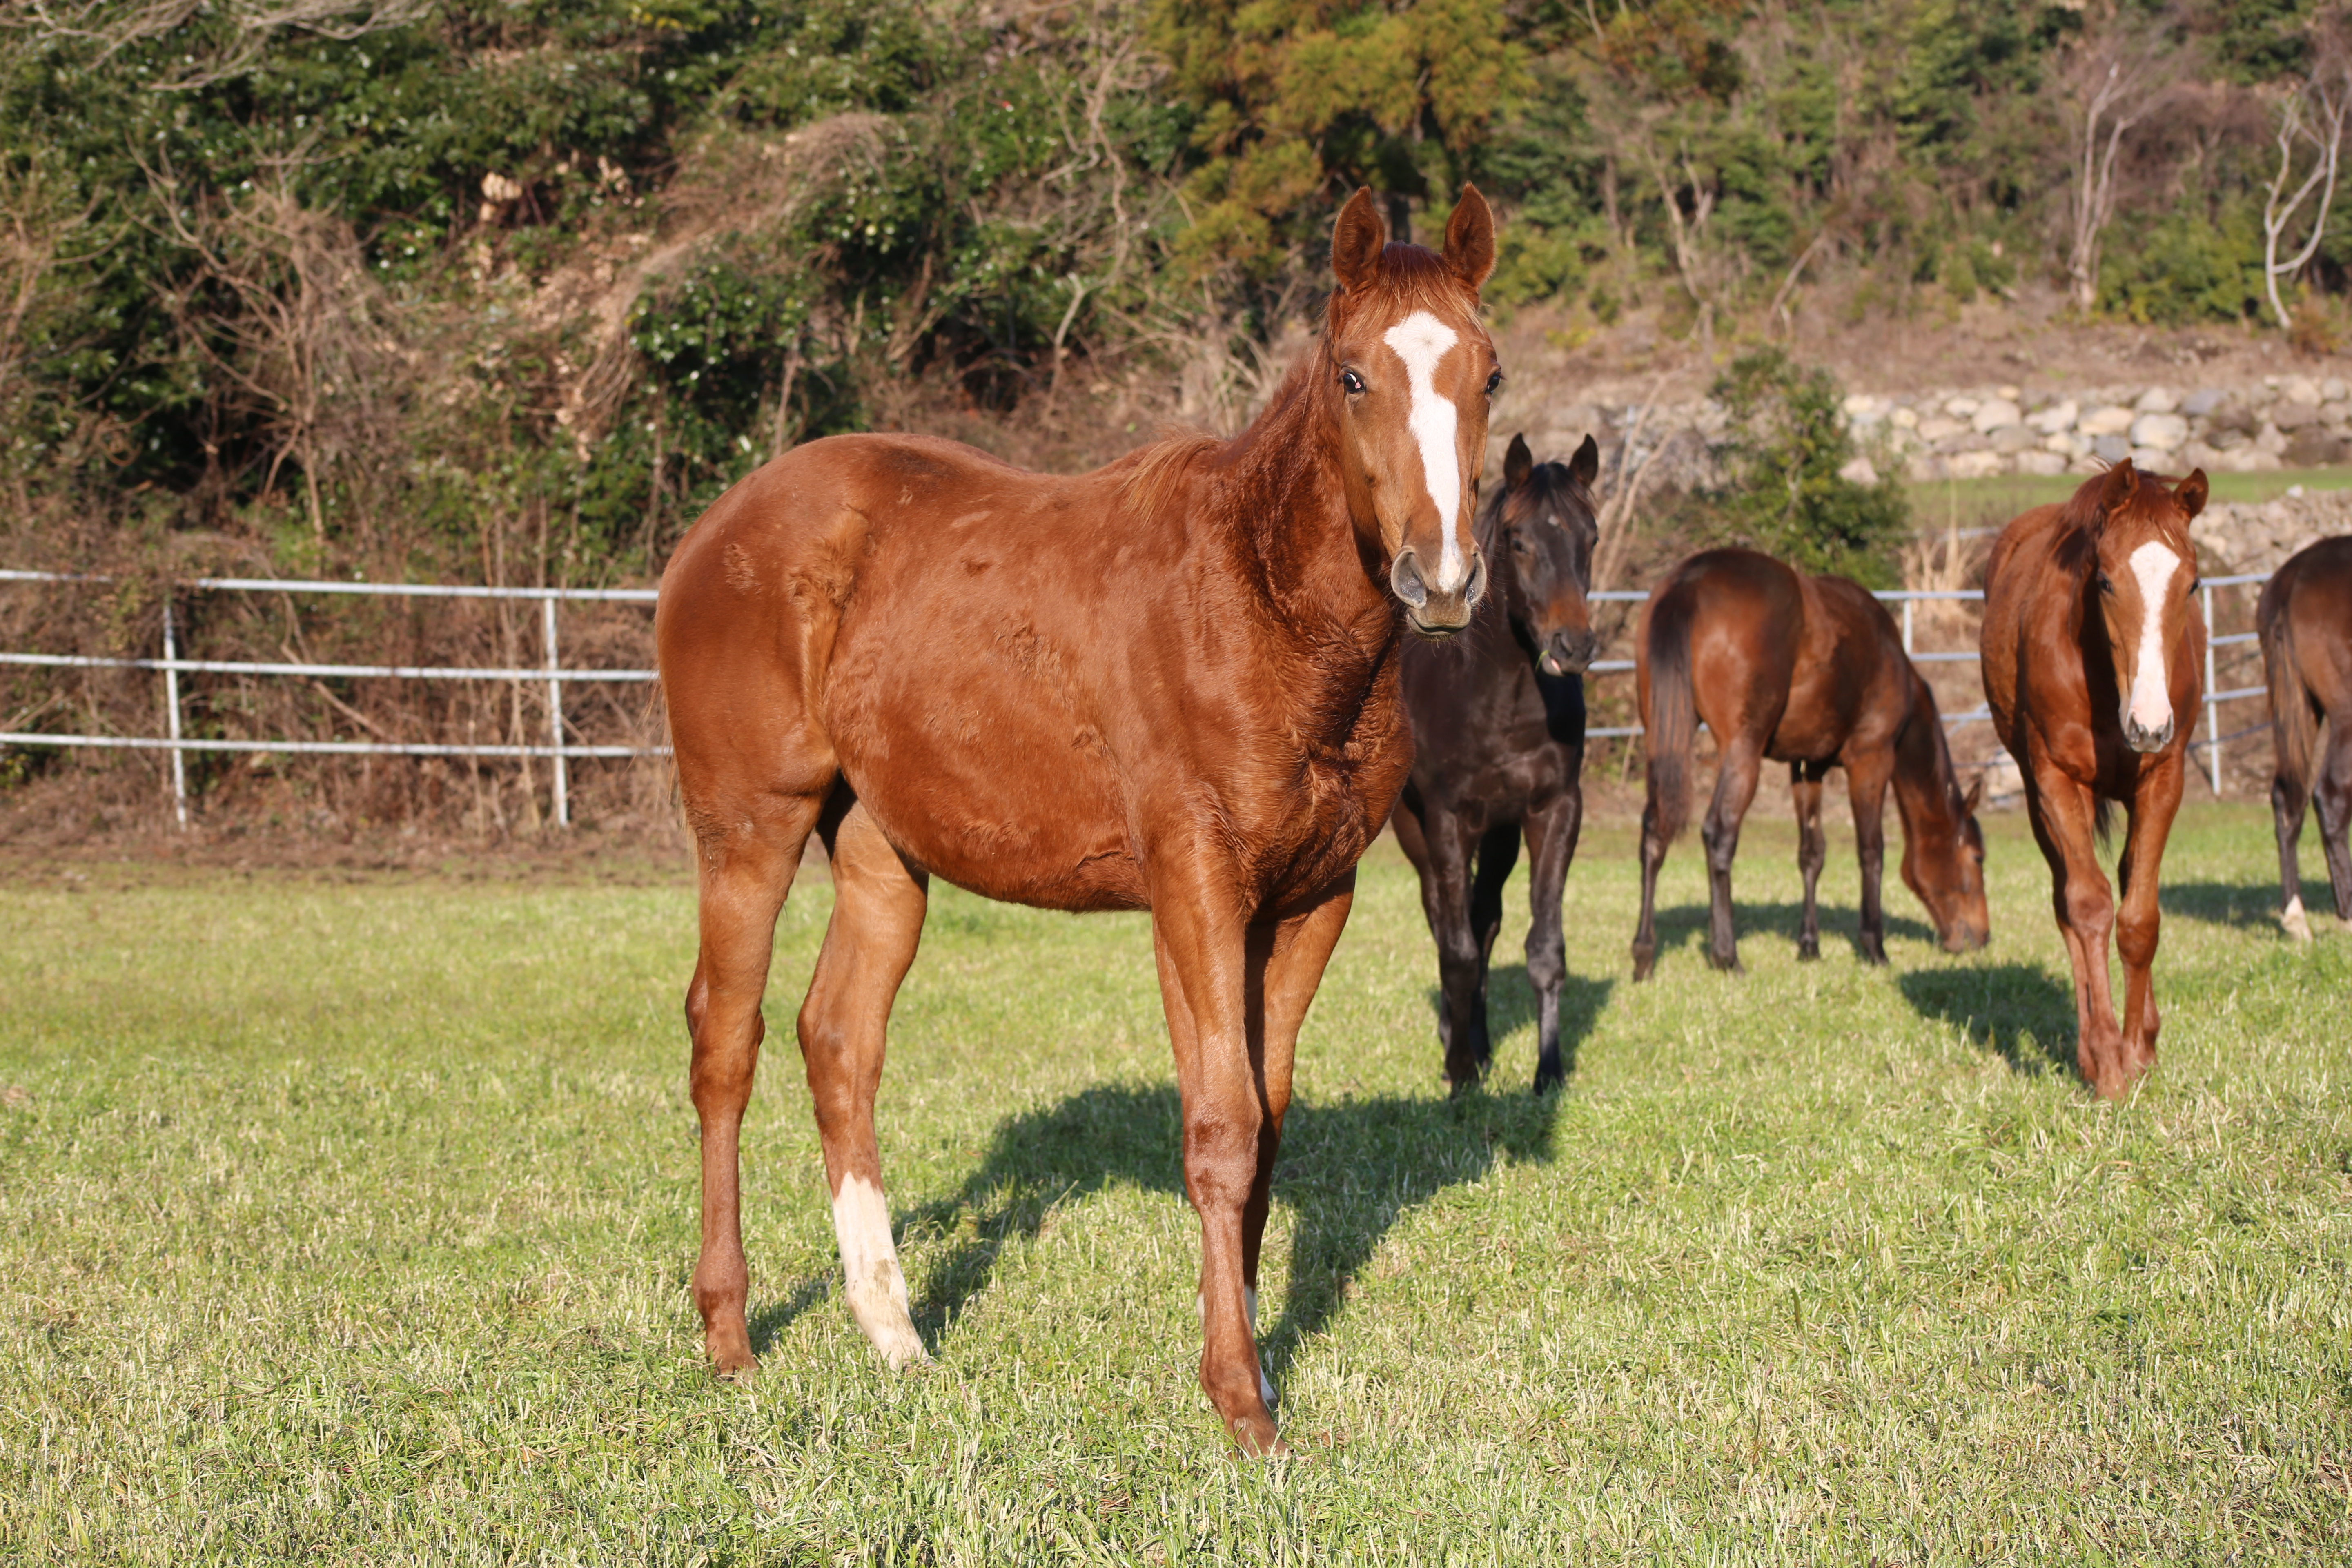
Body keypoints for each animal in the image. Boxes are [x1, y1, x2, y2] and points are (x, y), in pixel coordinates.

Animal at [658, 187, 1505, 1457]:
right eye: (1353, 376)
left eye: (1489, 373)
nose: (1442, 578)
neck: (1259, 607)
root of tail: (715, 530)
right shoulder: (1196, 889)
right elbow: (1220, 1130)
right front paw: (1240, 1402)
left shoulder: (1311, 902)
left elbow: (1267, 1128)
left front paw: (1253, 1356)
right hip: (747, 832)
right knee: (726, 1044)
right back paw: (728, 1336)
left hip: (882, 856)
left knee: (839, 1041)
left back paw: (895, 1334)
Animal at [1392, 430, 1599, 1091]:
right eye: (1519, 540)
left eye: (1591, 537)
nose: (1573, 645)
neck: (1499, 696)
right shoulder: (1448, 819)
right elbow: (1455, 950)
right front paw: (1459, 1074)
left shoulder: (1553, 812)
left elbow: (1543, 949)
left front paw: (1548, 1071)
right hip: (1416, 829)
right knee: (1443, 917)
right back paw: (1456, 1043)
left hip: (1501, 833)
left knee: (1484, 919)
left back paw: (1481, 1044)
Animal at [1627, 545, 1994, 973]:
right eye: (1977, 858)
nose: (1983, 937)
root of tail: (1691, 580)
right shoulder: (1871, 760)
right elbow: (1871, 850)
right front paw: (1875, 947)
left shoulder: (1806, 767)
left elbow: (1812, 854)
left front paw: (1809, 946)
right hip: (1742, 753)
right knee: (1719, 834)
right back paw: (1726, 954)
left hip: (1665, 735)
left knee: (1655, 829)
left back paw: (1644, 953)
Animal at [1985, 463, 2201, 1105]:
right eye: (2104, 581)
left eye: (2193, 585)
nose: (2150, 724)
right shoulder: (2056, 779)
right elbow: (2087, 907)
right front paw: (2107, 1064)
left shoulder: (2164, 779)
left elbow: (2139, 919)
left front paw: (2138, 1054)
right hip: (2038, 795)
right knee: (2069, 901)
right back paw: (2088, 1052)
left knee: (2129, 882)